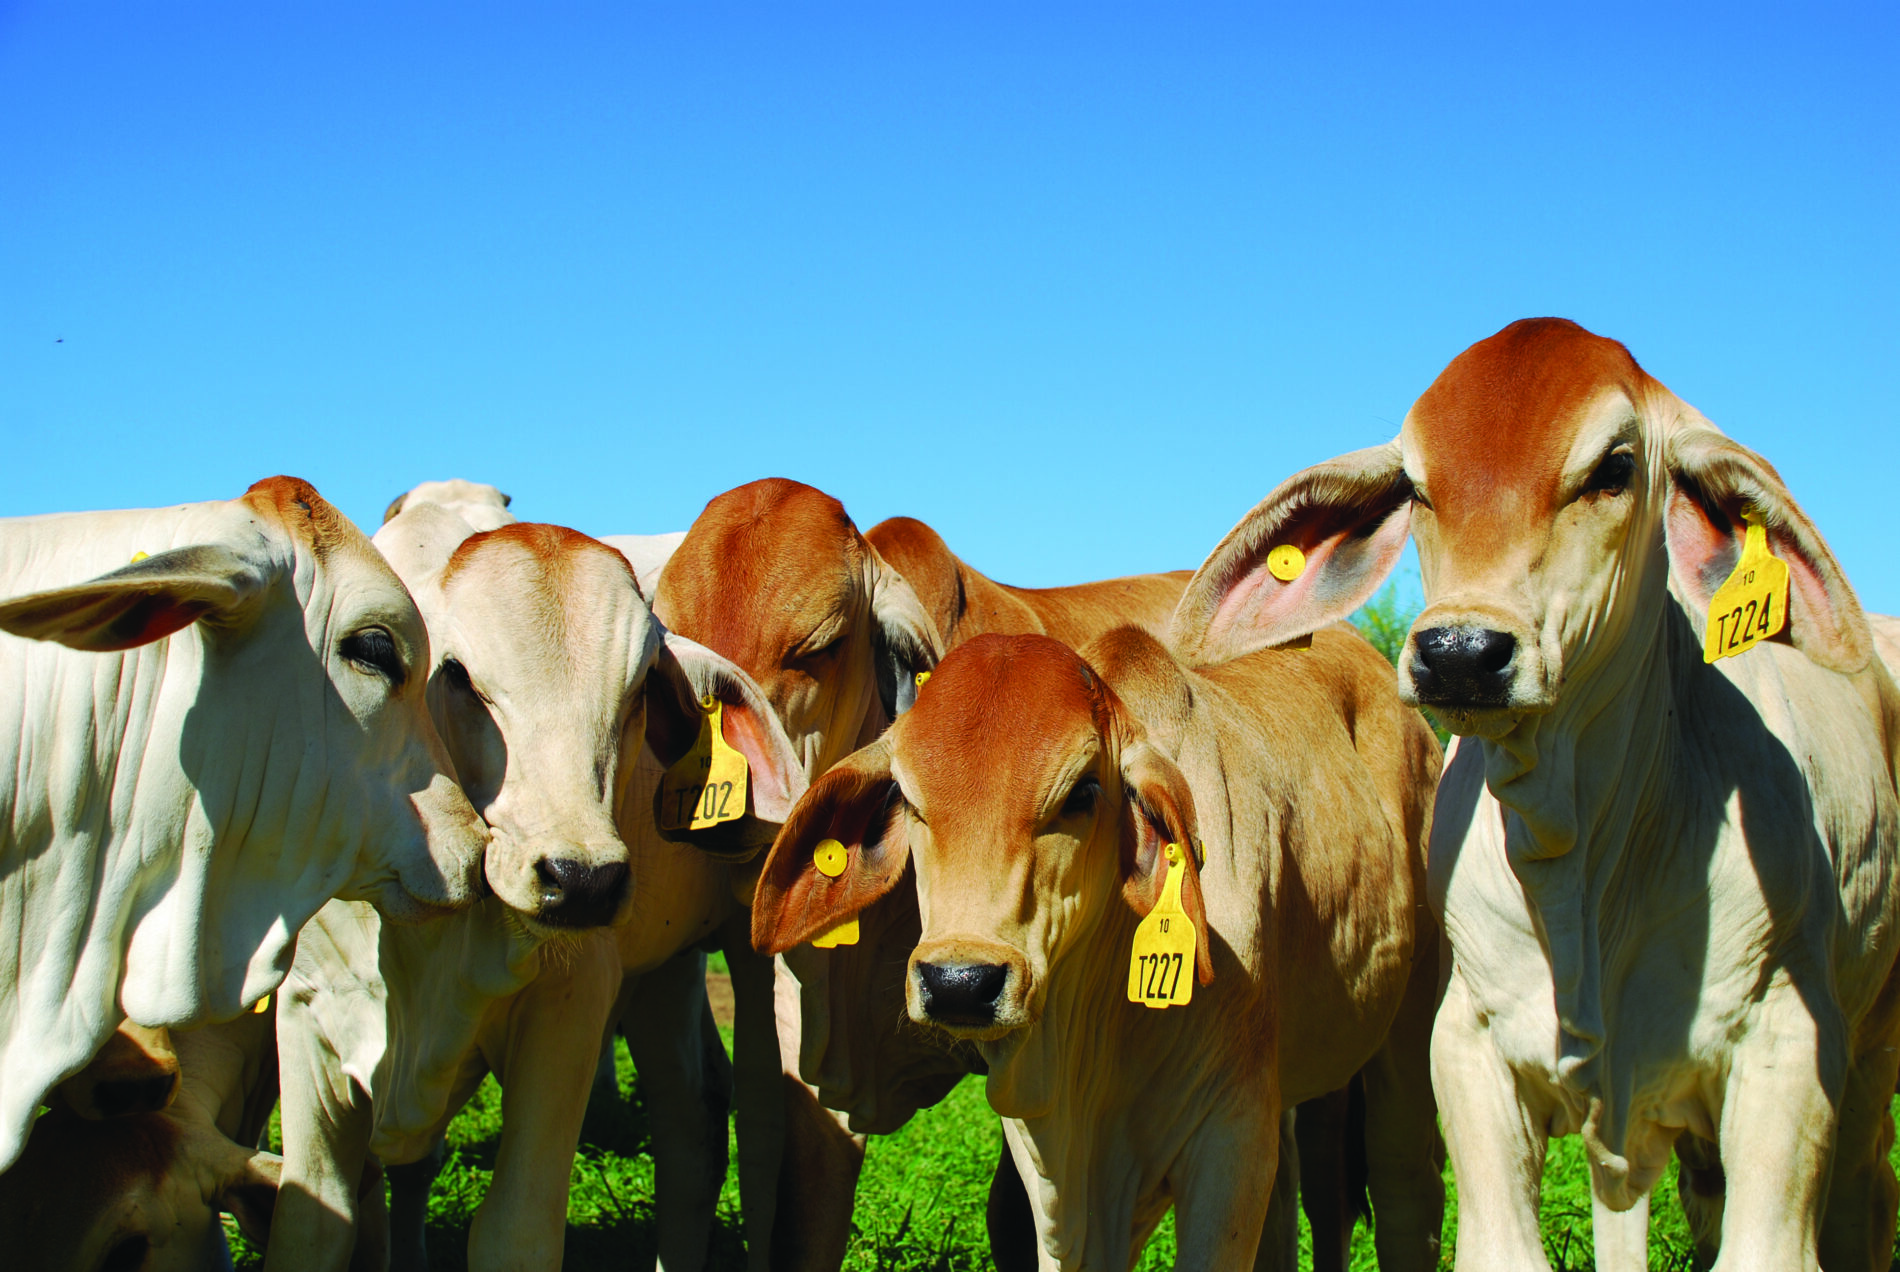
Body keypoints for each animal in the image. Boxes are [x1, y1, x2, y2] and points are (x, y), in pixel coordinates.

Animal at [749, 622, 1443, 1270]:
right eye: (909, 799)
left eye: (1082, 793)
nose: (959, 984)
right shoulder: (1052, 1171)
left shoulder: (1232, 1139)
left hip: (1407, 1041)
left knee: (1398, 1194)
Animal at [1177, 317, 1900, 1270]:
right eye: (1417, 487)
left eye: (1615, 469)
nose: (1460, 653)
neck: (1582, 864)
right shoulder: (1471, 1050)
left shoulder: (1788, 1048)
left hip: (1869, 1056)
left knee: (1864, 1199)